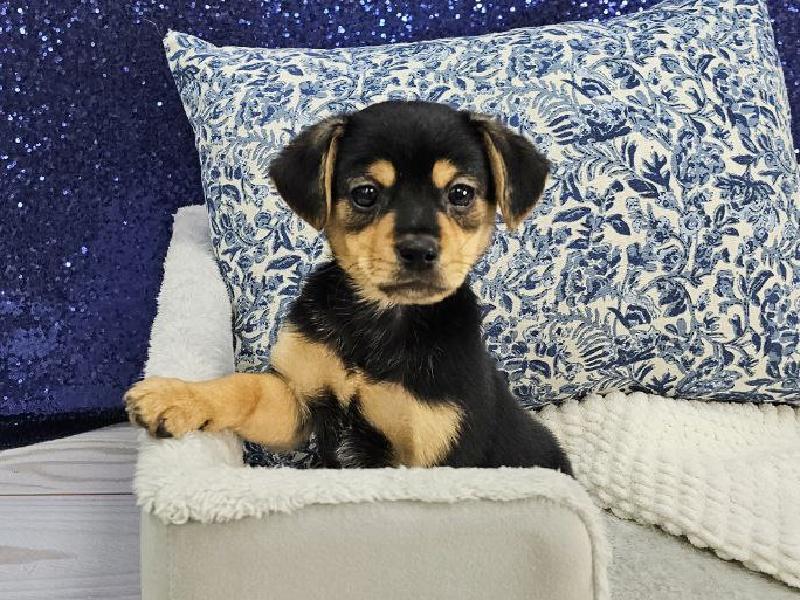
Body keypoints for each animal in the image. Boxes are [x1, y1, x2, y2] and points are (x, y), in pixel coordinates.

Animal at [125, 100, 571, 473]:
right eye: (365, 194)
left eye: (461, 193)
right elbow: (244, 387)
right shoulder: (299, 401)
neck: (378, 322)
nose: (418, 250)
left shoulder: (430, 454)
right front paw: (177, 396)